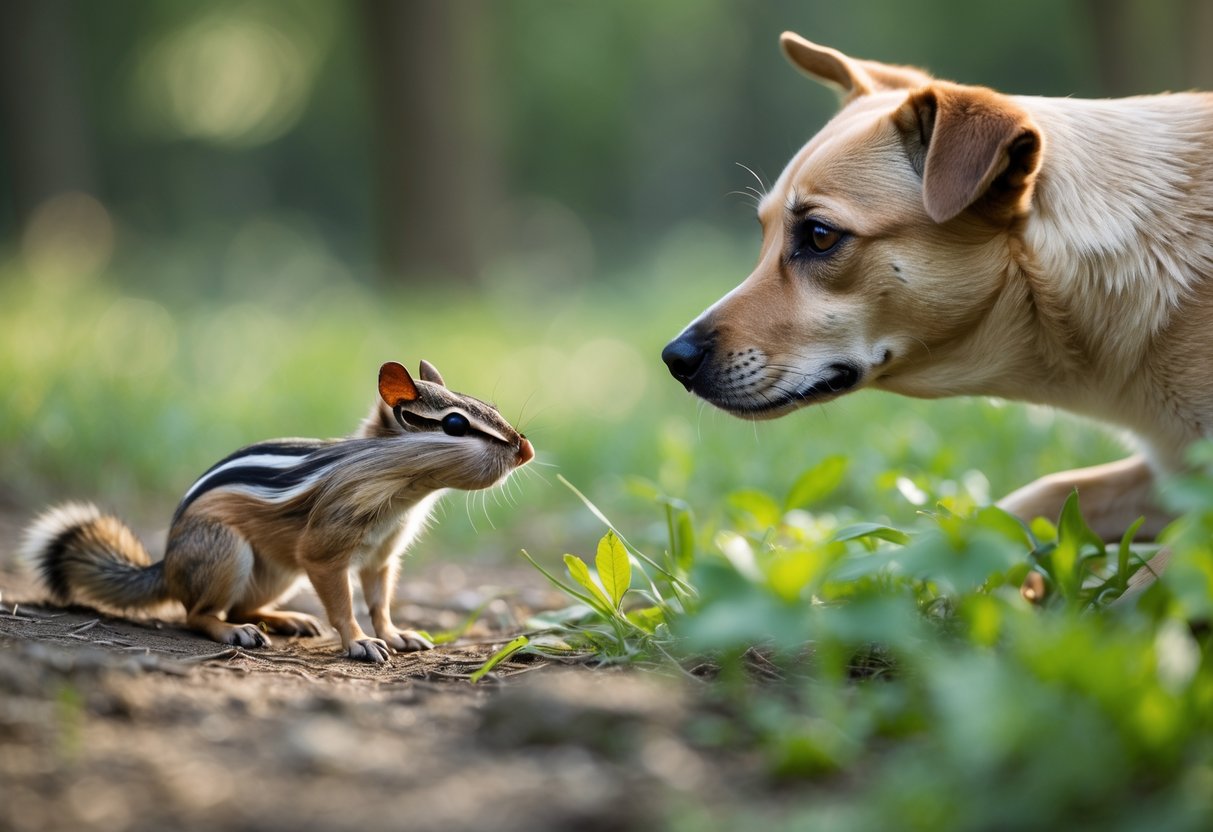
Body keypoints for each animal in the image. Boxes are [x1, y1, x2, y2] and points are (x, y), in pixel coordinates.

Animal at [20, 360, 534, 663]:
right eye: (454, 424)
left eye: (488, 405)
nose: (524, 450)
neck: (404, 488)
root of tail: (166, 565)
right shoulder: (324, 551)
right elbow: (344, 602)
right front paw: (360, 642)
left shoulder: (383, 555)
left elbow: (380, 600)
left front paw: (397, 633)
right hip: (227, 552)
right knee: (197, 614)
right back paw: (236, 632)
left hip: (278, 573)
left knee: (243, 603)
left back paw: (287, 619)